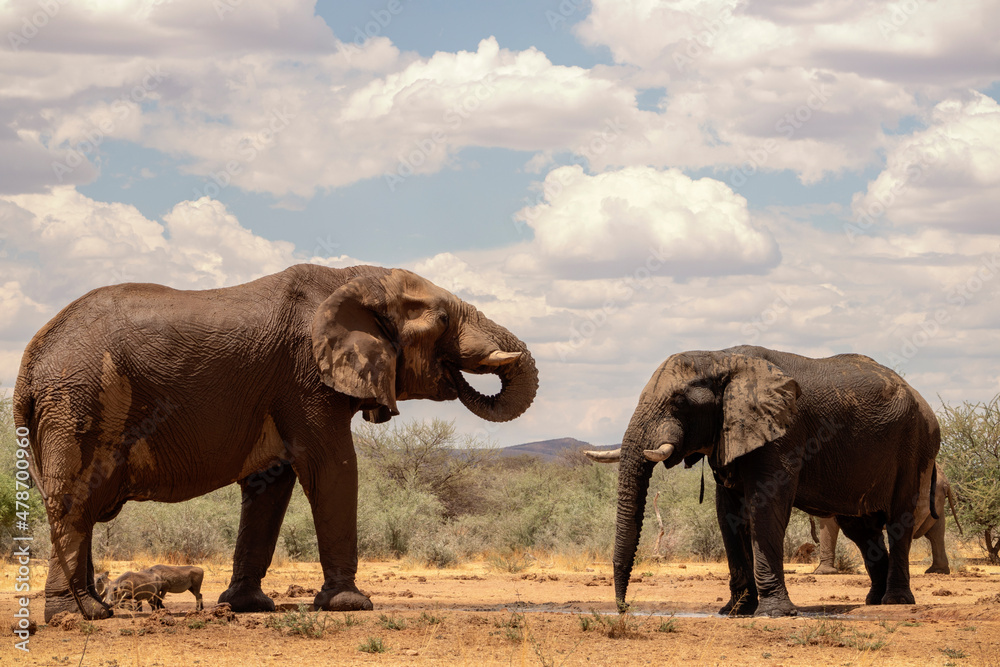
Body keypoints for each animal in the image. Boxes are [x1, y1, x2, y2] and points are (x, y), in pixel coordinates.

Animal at [14, 264, 538, 622]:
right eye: (444, 319)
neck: (356, 277)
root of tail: (30, 361)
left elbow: (269, 486)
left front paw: (247, 606)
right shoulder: (304, 378)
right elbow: (332, 467)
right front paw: (349, 606)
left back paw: (93, 608)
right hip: (78, 402)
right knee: (76, 504)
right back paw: (78, 615)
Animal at [585, 346, 939, 617]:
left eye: (678, 402)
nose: (624, 609)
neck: (720, 359)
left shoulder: (784, 434)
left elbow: (766, 507)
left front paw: (774, 613)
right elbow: (728, 513)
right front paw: (735, 610)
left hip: (915, 445)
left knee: (898, 521)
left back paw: (895, 601)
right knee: (861, 530)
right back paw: (873, 600)